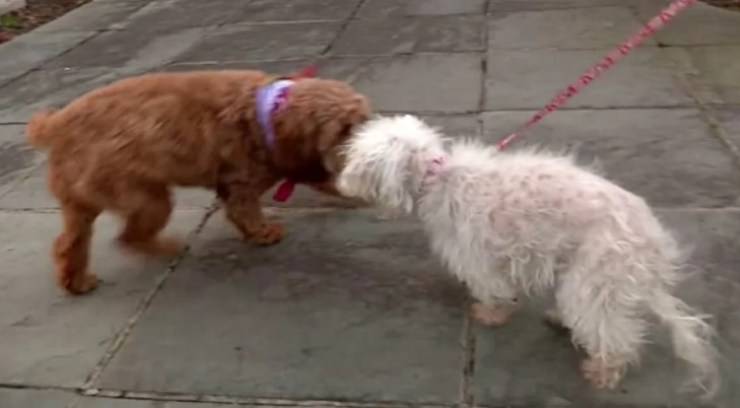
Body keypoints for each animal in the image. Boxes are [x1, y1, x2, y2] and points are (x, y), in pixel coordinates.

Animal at [27, 69, 370, 294]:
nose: (365, 142)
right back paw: (168, 247)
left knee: (68, 244)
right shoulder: (245, 182)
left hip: (80, 205)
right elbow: (247, 210)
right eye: (343, 129)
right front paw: (263, 233)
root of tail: (56, 125)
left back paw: (76, 282)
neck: (264, 112)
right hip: (146, 198)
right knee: (129, 237)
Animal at [338, 115, 720, 398]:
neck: (437, 177)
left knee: (614, 335)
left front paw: (490, 314)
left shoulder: (477, 255)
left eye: (357, 162)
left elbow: (494, 290)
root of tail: (652, 248)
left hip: (594, 279)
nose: (341, 184)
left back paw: (602, 370)